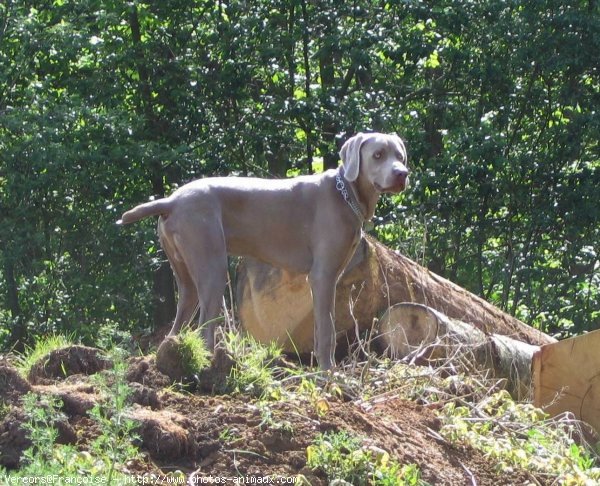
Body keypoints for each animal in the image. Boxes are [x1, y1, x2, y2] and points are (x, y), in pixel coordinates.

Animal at [118, 132, 408, 368]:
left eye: (400, 156)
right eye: (378, 155)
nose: (402, 173)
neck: (345, 193)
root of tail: (172, 200)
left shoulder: (331, 279)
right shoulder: (322, 276)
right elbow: (326, 331)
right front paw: (329, 375)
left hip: (186, 275)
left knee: (179, 322)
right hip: (212, 267)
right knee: (205, 327)